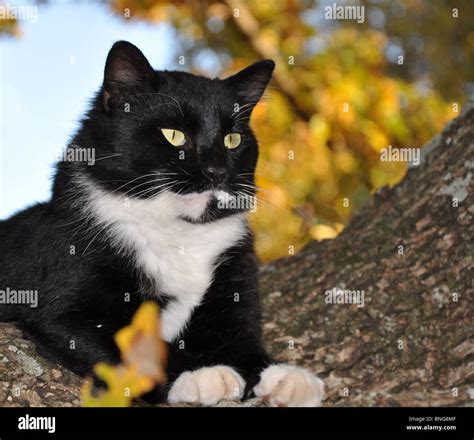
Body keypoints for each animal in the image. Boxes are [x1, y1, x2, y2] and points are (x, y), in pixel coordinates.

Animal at [0, 41, 324, 406]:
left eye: (232, 139)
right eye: (173, 135)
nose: (216, 171)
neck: (179, 232)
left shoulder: (234, 273)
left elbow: (243, 341)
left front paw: (284, 375)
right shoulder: (62, 306)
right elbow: (134, 348)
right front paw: (200, 374)